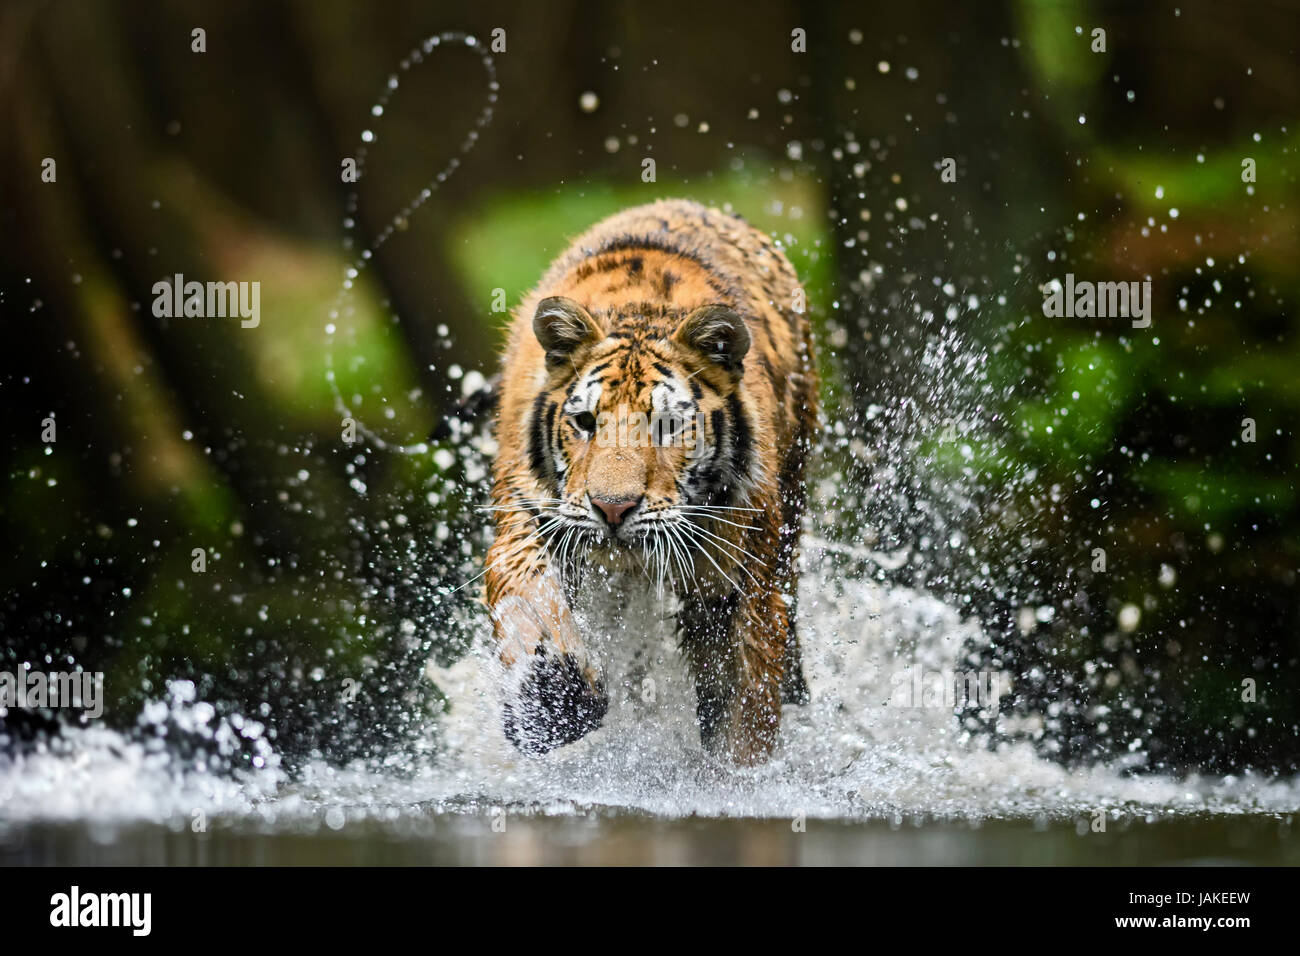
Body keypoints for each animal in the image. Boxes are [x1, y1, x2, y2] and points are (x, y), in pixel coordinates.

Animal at [483, 197, 816, 764]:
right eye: (585, 422)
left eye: (666, 425)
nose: (612, 508)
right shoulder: (530, 517)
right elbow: (533, 603)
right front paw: (553, 704)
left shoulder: (739, 589)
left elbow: (744, 711)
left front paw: (740, 775)